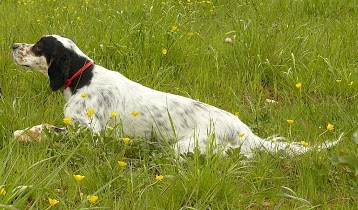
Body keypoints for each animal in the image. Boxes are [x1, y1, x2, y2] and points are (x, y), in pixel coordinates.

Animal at [11, 35, 342, 158]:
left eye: (38, 47)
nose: (14, 45)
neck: (82, 79)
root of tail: (245, 132)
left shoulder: (91, 133)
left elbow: (49, 130)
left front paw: (24, 135)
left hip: (186, 147)